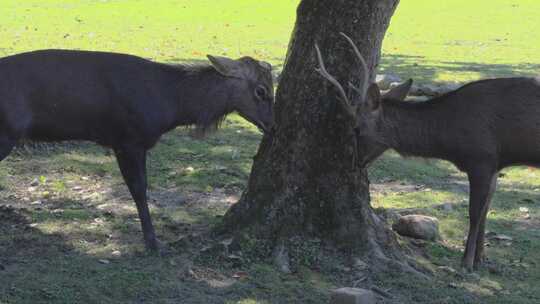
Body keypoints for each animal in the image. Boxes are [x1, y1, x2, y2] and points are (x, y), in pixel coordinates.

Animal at [0, 49, 272, 249]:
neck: (172, 105)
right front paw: (153, 242)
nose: (272, 124)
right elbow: (139, 189)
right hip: (7, 132)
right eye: (261, 91)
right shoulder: (128, 139)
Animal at [314, 32, 540, 270]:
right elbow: (486, 211)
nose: (354, 162)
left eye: (356, 128)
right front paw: (480, 259)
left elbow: (474, 213)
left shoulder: (482, 158)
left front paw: (466, 262)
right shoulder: (496, 163)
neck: (451, 142)